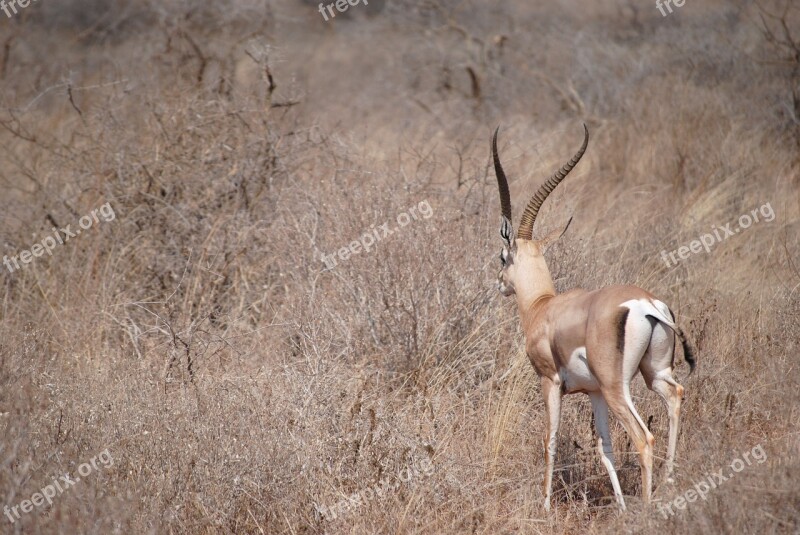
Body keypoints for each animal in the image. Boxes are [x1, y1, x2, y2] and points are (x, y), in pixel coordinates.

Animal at [490, 124, 696, 510]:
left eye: (502, 256)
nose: (499, 284)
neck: (543, 307)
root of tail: (646, 304)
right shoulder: (594, 392)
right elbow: (605, 448)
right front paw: (620, 505)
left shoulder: (550, 381)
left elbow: (550, 439)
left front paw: (544, 505)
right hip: (653, 374)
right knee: (675, 397)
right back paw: (669, 485)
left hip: (619, 388)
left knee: (645, 438)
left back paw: (648, 506)